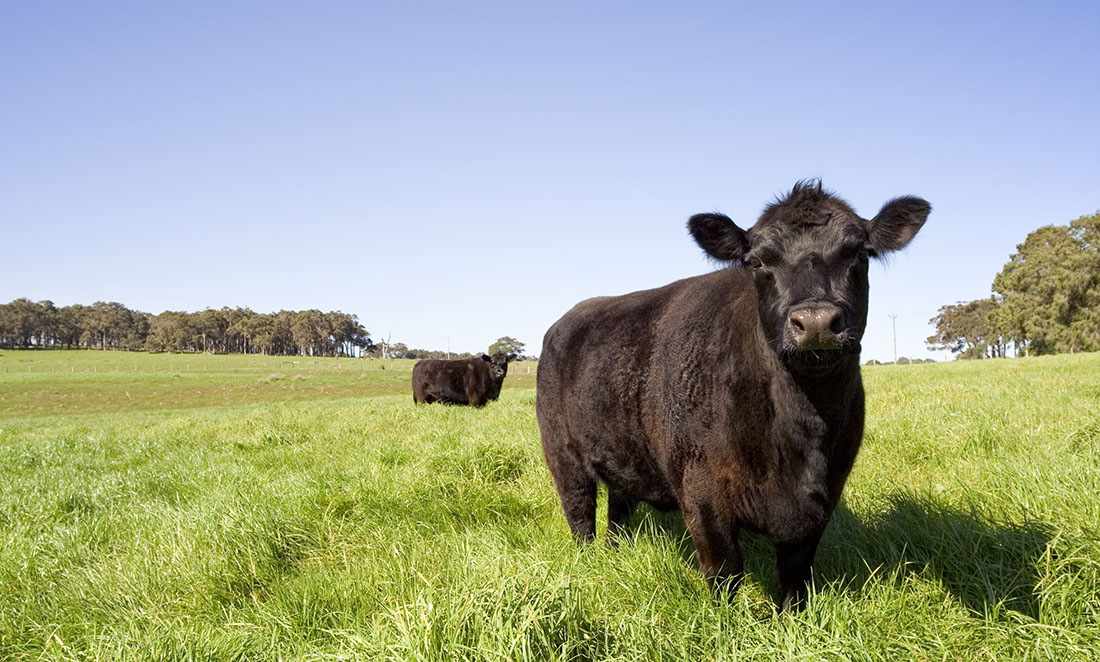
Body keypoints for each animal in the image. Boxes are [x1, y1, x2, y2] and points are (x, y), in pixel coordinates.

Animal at [532, 179, 928, 607]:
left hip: (623, 454)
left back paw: (614, 552)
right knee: (580, 514)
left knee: (618, 510)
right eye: (756, 261)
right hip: (563, 455)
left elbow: (795, 580)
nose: (816, 322)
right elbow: (724, 573)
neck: (801, 430)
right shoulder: (702, 495)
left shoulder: (823, 498)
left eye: (859, 253)